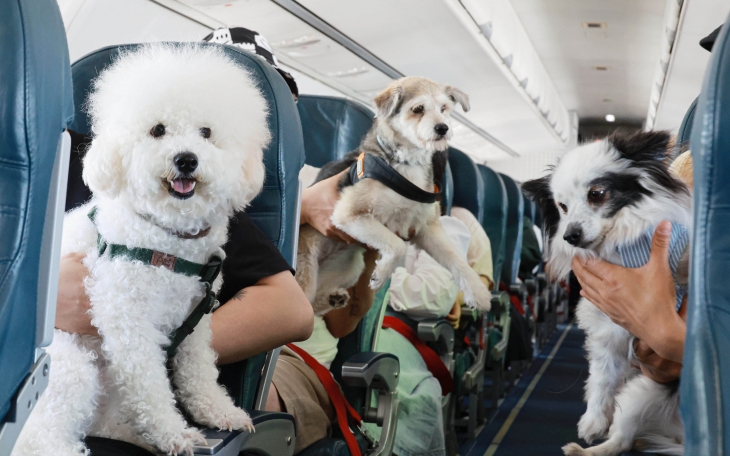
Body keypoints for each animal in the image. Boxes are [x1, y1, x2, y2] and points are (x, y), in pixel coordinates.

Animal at [12, 43, 268, 456]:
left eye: (207, 133)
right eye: (157, 130)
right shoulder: (129, 320)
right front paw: (174, 432)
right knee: (39, 438)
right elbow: (150, 385)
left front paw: (218, 411)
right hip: (68, 367)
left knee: (109, 421)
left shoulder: (196, 318)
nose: (186, 159)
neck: (167, 237)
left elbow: (199, 371)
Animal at [524, 129, 688, 456]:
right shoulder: (606, 326)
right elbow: (601, 375)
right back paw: (584, 449)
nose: (570, 236)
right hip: (639, 394)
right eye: (562, 208)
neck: (620, 245)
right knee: (620, 441)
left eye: (596, 194)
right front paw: (593, 421)